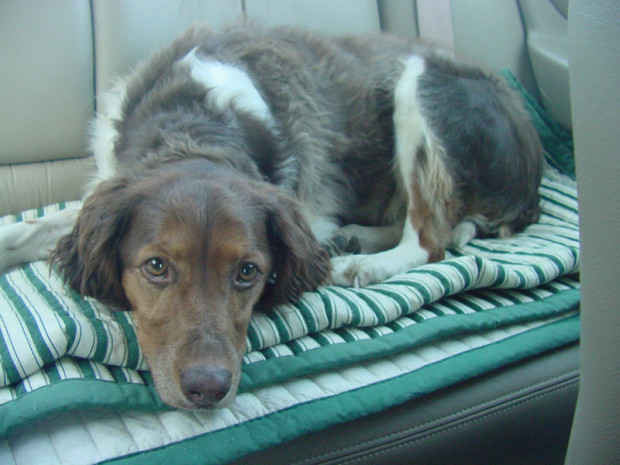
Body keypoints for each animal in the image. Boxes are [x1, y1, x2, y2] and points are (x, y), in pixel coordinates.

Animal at [0, 23, 544, 408]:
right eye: (156, 267)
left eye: (248, 272)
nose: (207, 389)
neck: (195, 124)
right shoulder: (107, 187)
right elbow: (31, 230)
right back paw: (356, 239)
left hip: (422, 83)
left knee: (431, 236)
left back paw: (366, 263)